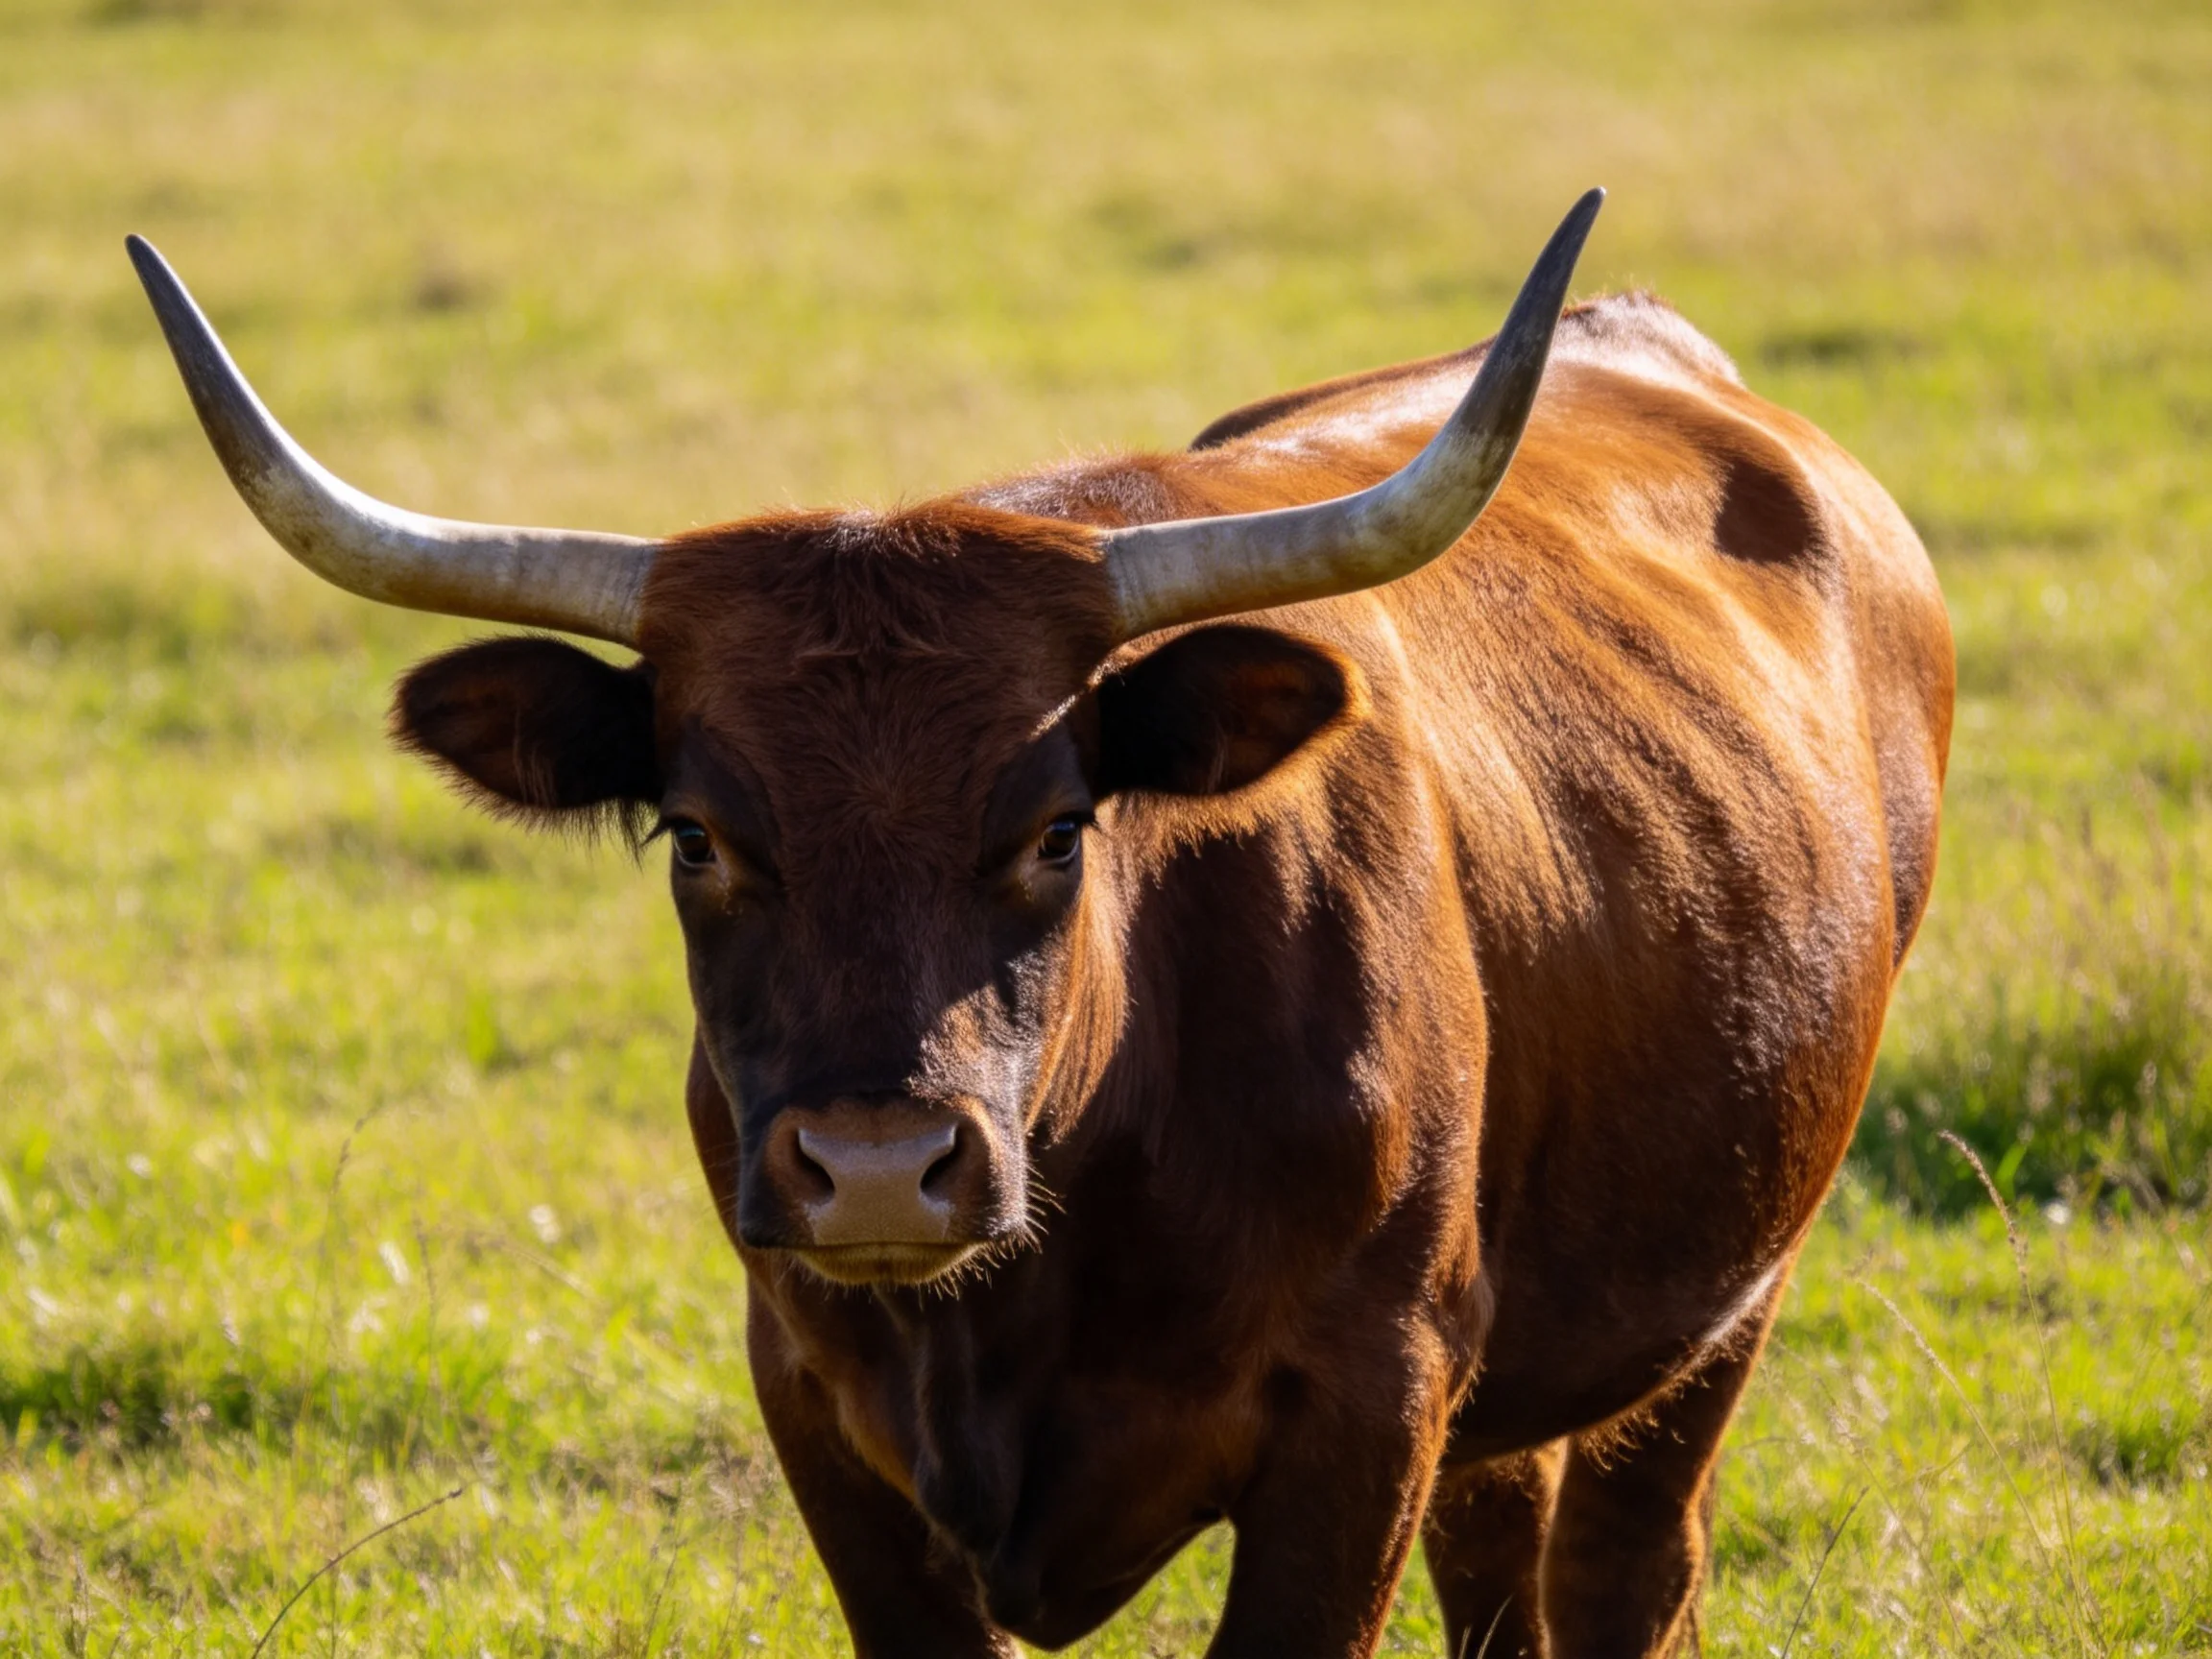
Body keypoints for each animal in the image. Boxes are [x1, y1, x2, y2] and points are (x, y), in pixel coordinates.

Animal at [128, 190, 1952, 1658]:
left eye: (1058, 829)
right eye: (696, 836)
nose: (876, 1168)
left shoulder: (1366, 1408)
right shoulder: (817, 1404)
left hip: (1728, 1286)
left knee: (1624, 1572)